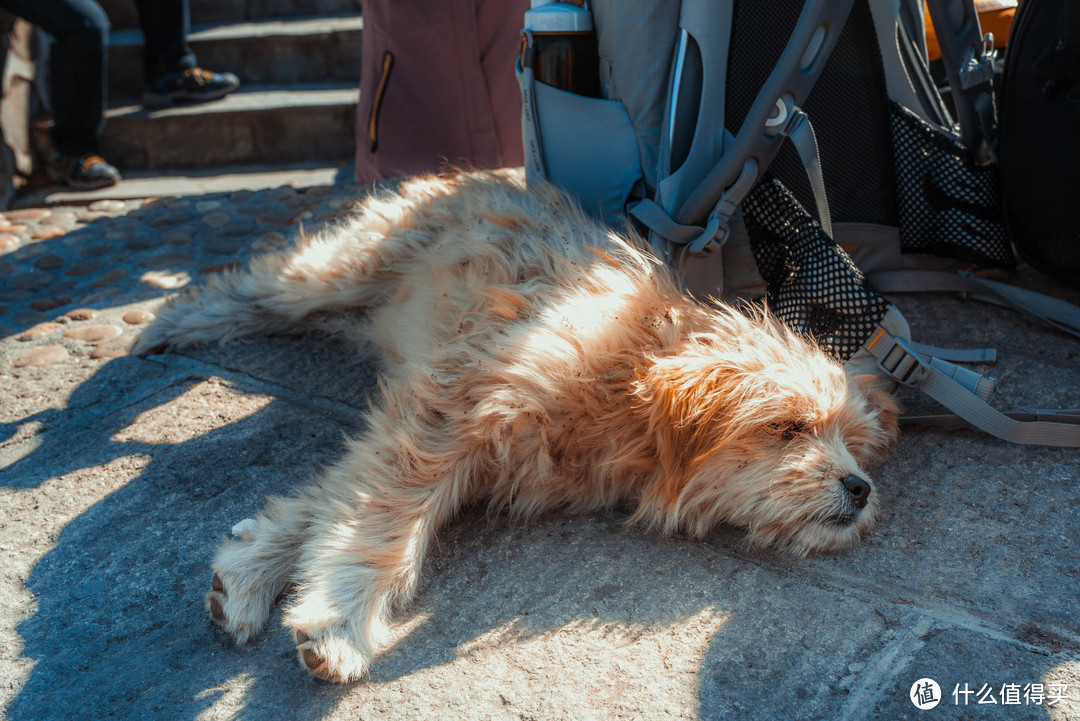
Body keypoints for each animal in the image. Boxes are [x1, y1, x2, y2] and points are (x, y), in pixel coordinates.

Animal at [132, 169, 894, 682]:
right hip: (343, 272)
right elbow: (380, 520)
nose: (860, 490)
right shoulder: (450, 410)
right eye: (789, 429)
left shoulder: (438, 428)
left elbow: (332, 497)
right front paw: (340, 618)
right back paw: (171, 324)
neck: (625, 383)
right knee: (257, 286)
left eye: (856, 446)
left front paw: (254, 568)